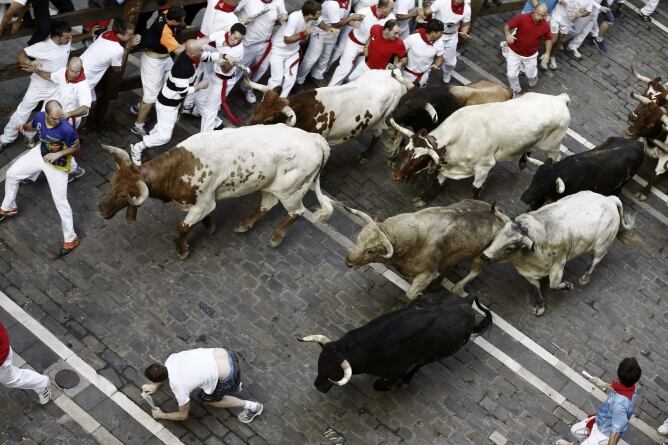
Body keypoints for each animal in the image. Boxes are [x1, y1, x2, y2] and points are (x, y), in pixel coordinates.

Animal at [95, 123, 334, 258]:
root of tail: (315, 139)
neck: (177, 168)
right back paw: (244, 225)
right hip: (269, 185)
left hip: (292, 191)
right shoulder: (202, 204)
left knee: (296, 212)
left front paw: (182, 250)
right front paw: (210, 226)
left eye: (123, 194)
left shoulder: (203, 203)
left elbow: (183, 227)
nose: (100, 210)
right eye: (112, 183)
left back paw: (275, 238)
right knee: (267, 205)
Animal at [300, 294, 494, 392]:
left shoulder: (395, 371)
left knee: (422, 364)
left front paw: (383, 386)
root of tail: (466, 302)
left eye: (334, 372)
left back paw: (407, 380)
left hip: (440, 353)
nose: (318, 386)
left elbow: (383, 383)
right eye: (319, 363)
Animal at [348, 200, 508, 298]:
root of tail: (494, 212)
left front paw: (420, 294)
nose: (348, 261)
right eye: (358, 239)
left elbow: (411, 294)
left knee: (474, 271)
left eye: (370, 251)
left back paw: (456, 288)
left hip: (483, 257)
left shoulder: (427, 273)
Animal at [392, 93, 568, 206]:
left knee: (556, 158)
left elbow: (476, 189)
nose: (396, 176)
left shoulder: (485, 167)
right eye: (405, 150)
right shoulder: (449, 163)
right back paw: (523, 161)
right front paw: (424, 199)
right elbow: (438, 182)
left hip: (552, 146)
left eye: (420, 160)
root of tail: (560, 99)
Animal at [480, 191, 632, 316]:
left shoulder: (558, 266)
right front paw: (539, 305)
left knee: (597, 259)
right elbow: (536, 286)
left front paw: (568, 285)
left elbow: (553, 286)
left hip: (602, 244)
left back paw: (585, 277)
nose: (484, 256)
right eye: (496, 235)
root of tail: (609, 199)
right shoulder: (528, 273)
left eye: (510, 247)